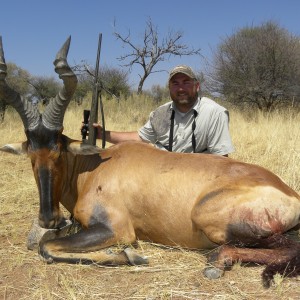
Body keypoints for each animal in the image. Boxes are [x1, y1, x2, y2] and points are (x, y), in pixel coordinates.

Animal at [0, 36, 300, 288]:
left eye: (58, 153)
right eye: (31, 155)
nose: (48, 219)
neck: (95, 167)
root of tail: (290, 194)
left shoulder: (116, 228)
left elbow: (47, 248)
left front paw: (131, 256)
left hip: (209, 215)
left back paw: (217, 261)